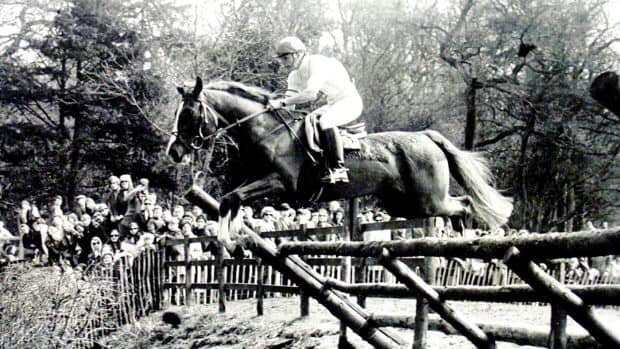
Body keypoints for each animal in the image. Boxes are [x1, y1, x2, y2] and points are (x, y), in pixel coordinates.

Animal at [167, 77, 512, 249]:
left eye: (189, 114)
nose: (174, 152)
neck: (266, 131)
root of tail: (426, 137)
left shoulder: (279, 184)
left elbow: (233, 197)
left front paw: (228, 239)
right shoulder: (252, 181)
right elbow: (230, 199)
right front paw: (232, 236)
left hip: (427, 200)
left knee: (464, 205)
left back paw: (466, 251)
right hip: (404, 205)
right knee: (458, 207)